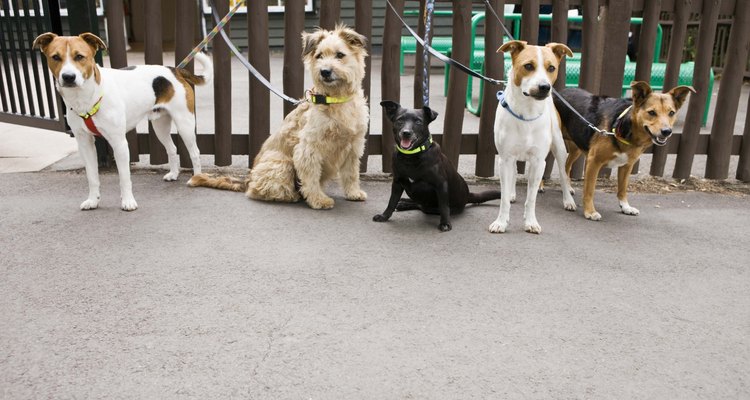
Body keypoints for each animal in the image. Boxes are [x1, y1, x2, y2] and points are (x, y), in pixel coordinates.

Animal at [30, 32, 210, 211]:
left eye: (79, 56)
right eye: (55, 57)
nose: (68, 77)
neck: (86, 98)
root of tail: (174, 70)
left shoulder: (119, 143)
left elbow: (124, 178)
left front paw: (128, 201)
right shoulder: (85, 144)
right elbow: (92, 177)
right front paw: (93, 200)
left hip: (185, 124)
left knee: (195, 152)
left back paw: (197, 177)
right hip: (160, 125)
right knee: (172, 148)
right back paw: (173, 174)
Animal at [374, 101, 502, 231]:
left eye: (418, 121)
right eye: (399, 120)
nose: (406, 133)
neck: (411, 156)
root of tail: (467, 195)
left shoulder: (441, 184)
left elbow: (444, 207)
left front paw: (445, 223)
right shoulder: (397, 182)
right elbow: (391, 202)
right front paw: (384, 216)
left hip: (432, 205)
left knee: (423, 206)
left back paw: (404, 203)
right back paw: (404, 202)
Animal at [490, 39, 580, 234]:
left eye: (551, 68)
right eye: (528, 66)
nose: (545, 87)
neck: (527, 112)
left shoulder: (539, 161)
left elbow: (531, 199)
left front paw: (531, 222)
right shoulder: (505, 159)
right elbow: (504, 197)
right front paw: (501, 222)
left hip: (559, 148)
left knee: (563, 175)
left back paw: (568, 200)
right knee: (513, 174)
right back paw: (512, 193)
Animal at [556, 80, 696, 220]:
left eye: (671, 113)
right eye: (652, 112)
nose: (667, 131)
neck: (622, 125)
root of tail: (561, 91)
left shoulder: (627, 165)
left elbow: (622, 189)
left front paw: (625, 207)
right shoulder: (593, 162)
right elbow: (589, 190)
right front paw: (590, 211)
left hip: (576, 149)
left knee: (567, 166)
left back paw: (567, 188)